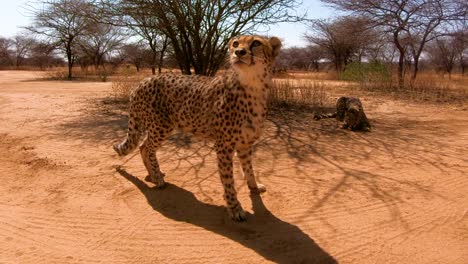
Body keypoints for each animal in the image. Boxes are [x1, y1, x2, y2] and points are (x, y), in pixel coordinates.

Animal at [113, 35, 282, 221]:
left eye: (256, 43)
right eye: (235, 43)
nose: (239, 52)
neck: (252, 85)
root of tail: (143, 81)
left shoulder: (245, 144)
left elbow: (249, 168)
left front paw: (254, 187)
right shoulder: (223, 146)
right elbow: (228, 179)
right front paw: (234, 207)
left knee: (143, 146)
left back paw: (152, 174)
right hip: (161, 126)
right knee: (147, 147)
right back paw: (157, 178)